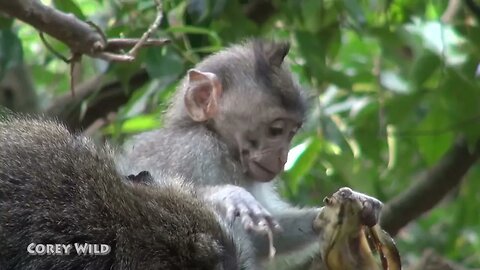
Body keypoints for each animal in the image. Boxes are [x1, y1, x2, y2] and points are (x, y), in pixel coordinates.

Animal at [120, 40, 330, 268]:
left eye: (292, 132)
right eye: (276, 131)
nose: (283, 158)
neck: (221, 145)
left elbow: (262, 237)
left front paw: (331, 214)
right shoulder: (191, 150)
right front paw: (228, 195)